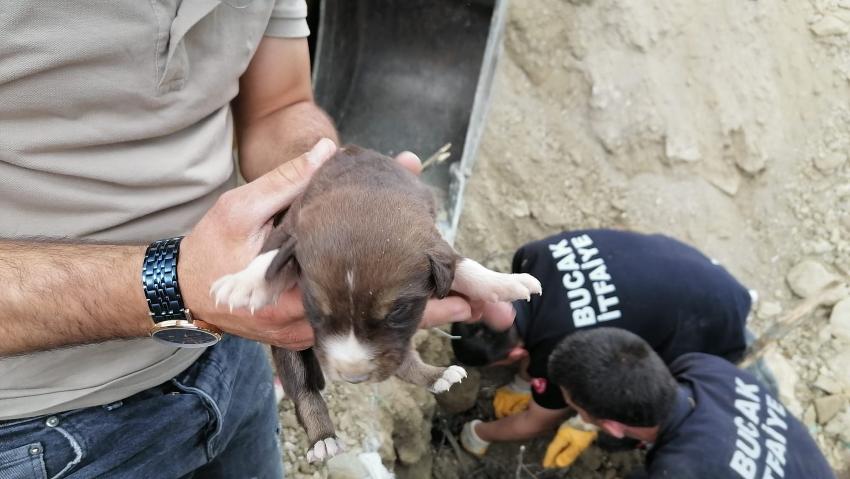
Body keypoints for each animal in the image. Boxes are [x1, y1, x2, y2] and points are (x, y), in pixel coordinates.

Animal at [212, 145, 544, 462]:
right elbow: (270, 255)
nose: (353, 377)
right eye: (314, 308)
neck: (365, 195)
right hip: (289, 354)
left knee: (403, 363)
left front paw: (507, 282)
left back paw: (437, 376)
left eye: (398, 311)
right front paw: (244, 283)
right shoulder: (290, 225)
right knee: (303, 389)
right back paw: (322, 439)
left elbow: (463, 264)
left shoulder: (434, 242)